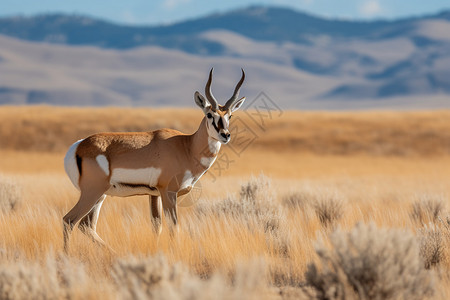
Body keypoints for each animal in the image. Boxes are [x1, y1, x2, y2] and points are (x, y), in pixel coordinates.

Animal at [62, 68, 246, 251]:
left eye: (230, 116)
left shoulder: (154, 194)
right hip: (92, 193)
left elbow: (157, 227)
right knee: (69, 220)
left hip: (100, 195)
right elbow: (173, 227)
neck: (186, 146)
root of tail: (78, 145)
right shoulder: (168, 193)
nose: (225, 135)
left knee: (86, 224)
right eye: (209, 114)